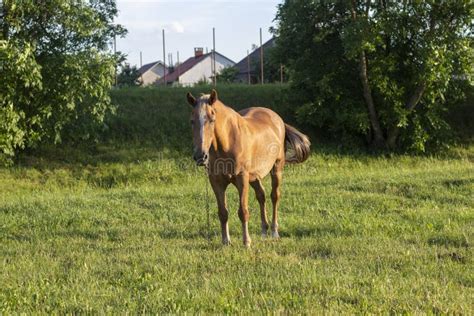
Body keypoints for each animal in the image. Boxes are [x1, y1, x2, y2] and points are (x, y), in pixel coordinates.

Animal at [187, 89, 310, 247]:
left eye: (211, 119)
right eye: (192, 121)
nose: (200, 156)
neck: (227, 143)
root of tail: (278, 119)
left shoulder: (242, 179)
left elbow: (243, 212)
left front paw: (246, 242)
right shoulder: (216, 181)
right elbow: (223, 212)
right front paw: (225, 241)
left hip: (277, 168)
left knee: (274, 196)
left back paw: (274, 232)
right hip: (254, 177)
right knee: (261, 196)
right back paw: (264, 231)